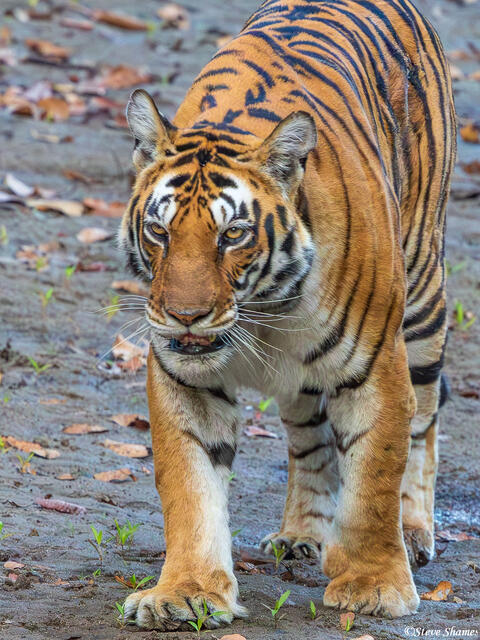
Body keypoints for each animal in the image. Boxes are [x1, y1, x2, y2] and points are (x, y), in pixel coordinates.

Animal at [119, 0, 455, 630]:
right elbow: (189, 487)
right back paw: (302, 535)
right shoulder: (183, 378)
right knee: (309, 438)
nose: (185, 315)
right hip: (305, 380)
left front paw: (374, 587)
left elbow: (375, 477)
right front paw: (186, 593)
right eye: (159, 231)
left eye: (232, 234)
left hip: (424, 299)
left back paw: (416, 531)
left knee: (425, 418)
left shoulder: (377, 366)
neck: (263, 311)